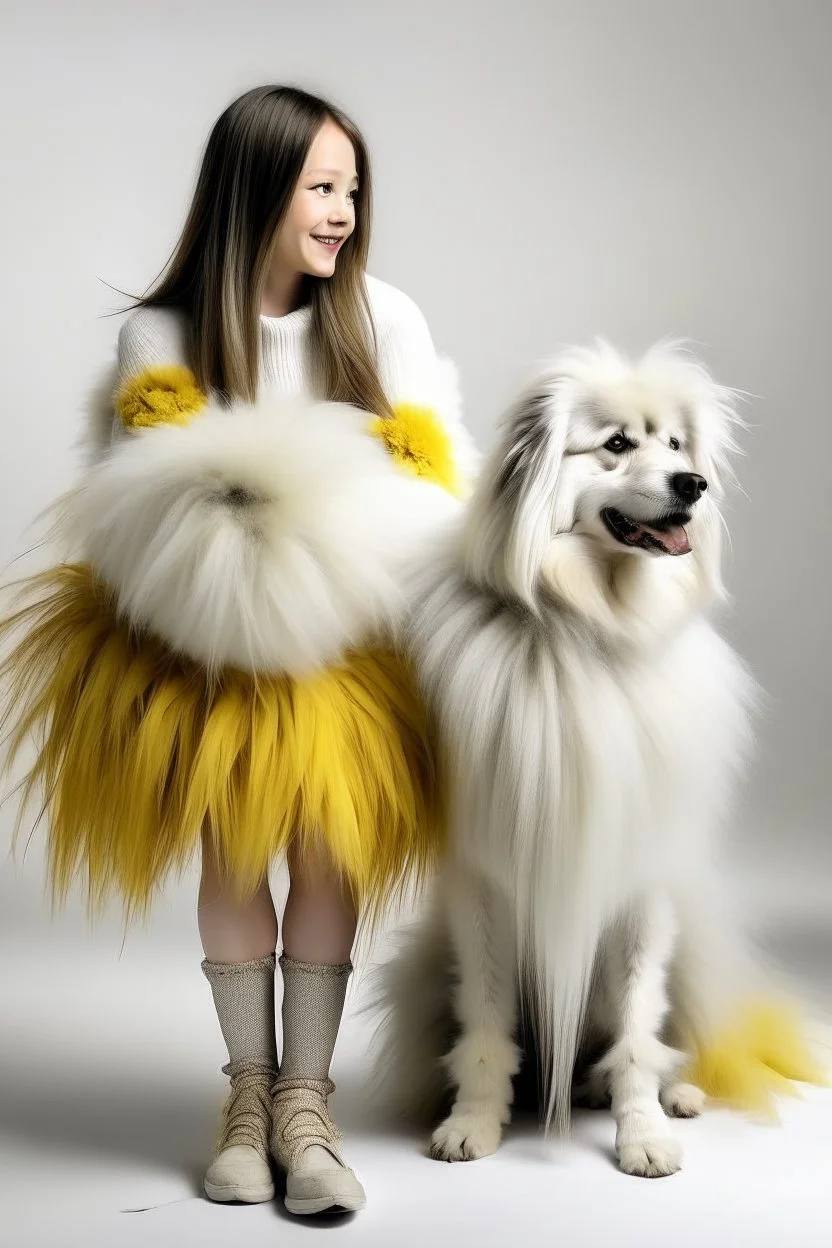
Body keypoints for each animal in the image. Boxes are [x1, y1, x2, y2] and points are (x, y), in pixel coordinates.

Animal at [376, 341, 773, 1178]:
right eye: (617, 444)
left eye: (677, 446)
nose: (693, 485)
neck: (587, 625)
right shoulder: (485, 888)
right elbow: (486, 1028)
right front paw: (473, 1123)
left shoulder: (643, 889)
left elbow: (637, 1031)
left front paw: (643, 1132)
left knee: (658, 1039)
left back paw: (674, 1093)